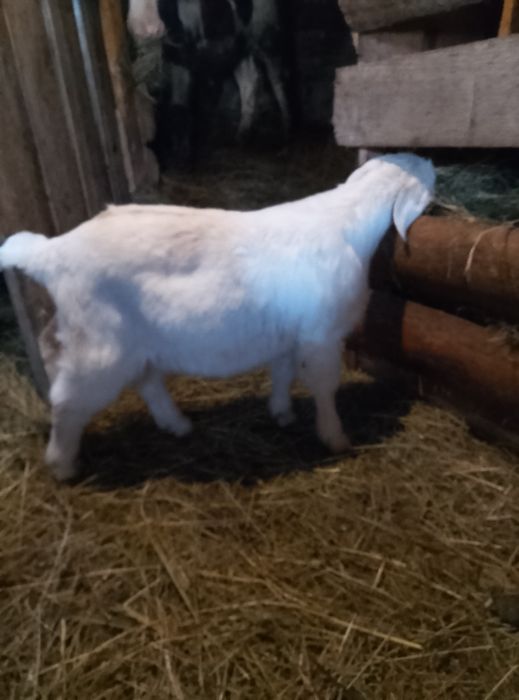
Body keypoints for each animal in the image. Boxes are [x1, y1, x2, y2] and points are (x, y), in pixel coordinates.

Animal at [0, 153, 435, 481]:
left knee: (146, 380)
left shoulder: (288, 333)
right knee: (67, 401)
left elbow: (282, 373)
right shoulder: (321, 335)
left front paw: (282, 413)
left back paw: (176, 425)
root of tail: (51, 253)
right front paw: (335, 437)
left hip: (132, 340)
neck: (347, 222)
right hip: (100, 345)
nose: (434, 163)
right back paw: (63, 465)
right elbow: (325, 388)